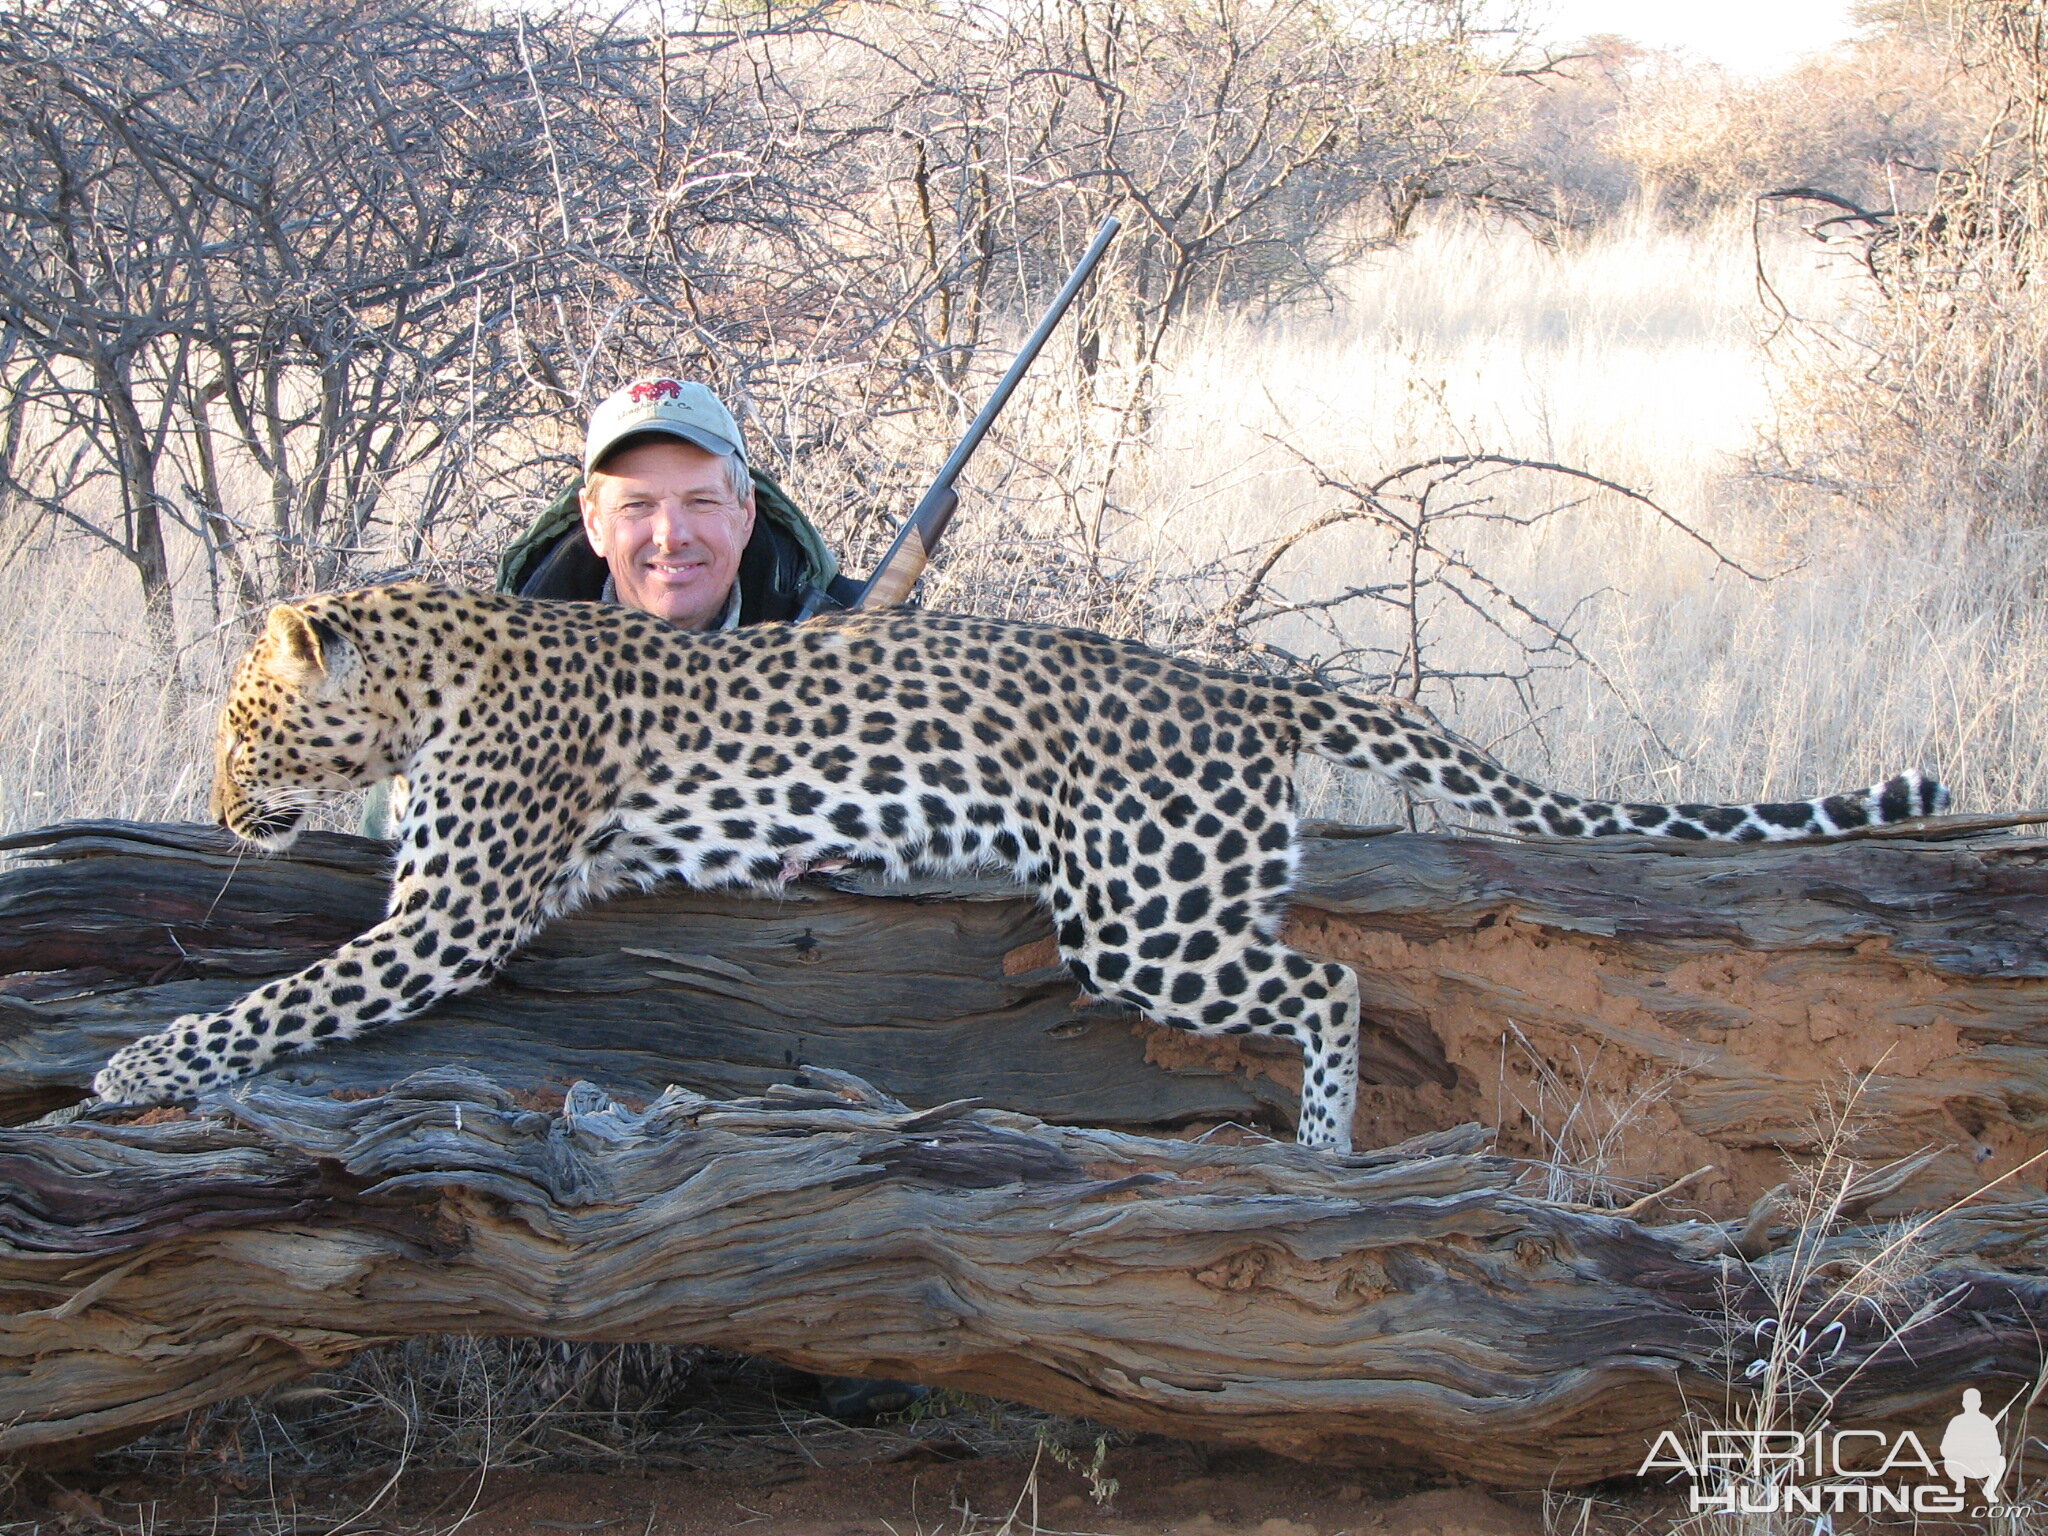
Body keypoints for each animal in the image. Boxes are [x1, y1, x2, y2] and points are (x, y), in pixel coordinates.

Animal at [92, 589, 1949, 1155]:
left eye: (246, 724)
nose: (217, 800)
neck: (429, 671)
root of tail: (1238, 683)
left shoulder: (447, 919)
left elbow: (269, 1004)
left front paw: (128, 1068)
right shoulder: (432, 900)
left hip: (1145, 916)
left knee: (1333, 976)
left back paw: (1322, 1151)